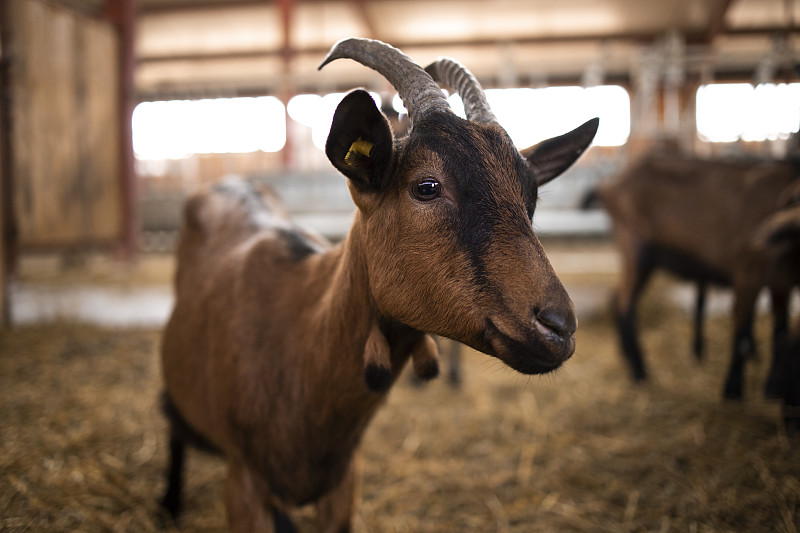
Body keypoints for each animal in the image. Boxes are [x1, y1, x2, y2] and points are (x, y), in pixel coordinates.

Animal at [596, 151, 800, 400]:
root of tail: (612, 183)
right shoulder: (746, 276)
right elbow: (741, 336)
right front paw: (732, 391)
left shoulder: (781, 285)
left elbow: (780, 334)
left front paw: (771, 387)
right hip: (636, 251)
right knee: (624, 302)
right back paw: (639, 371)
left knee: (616, 297)